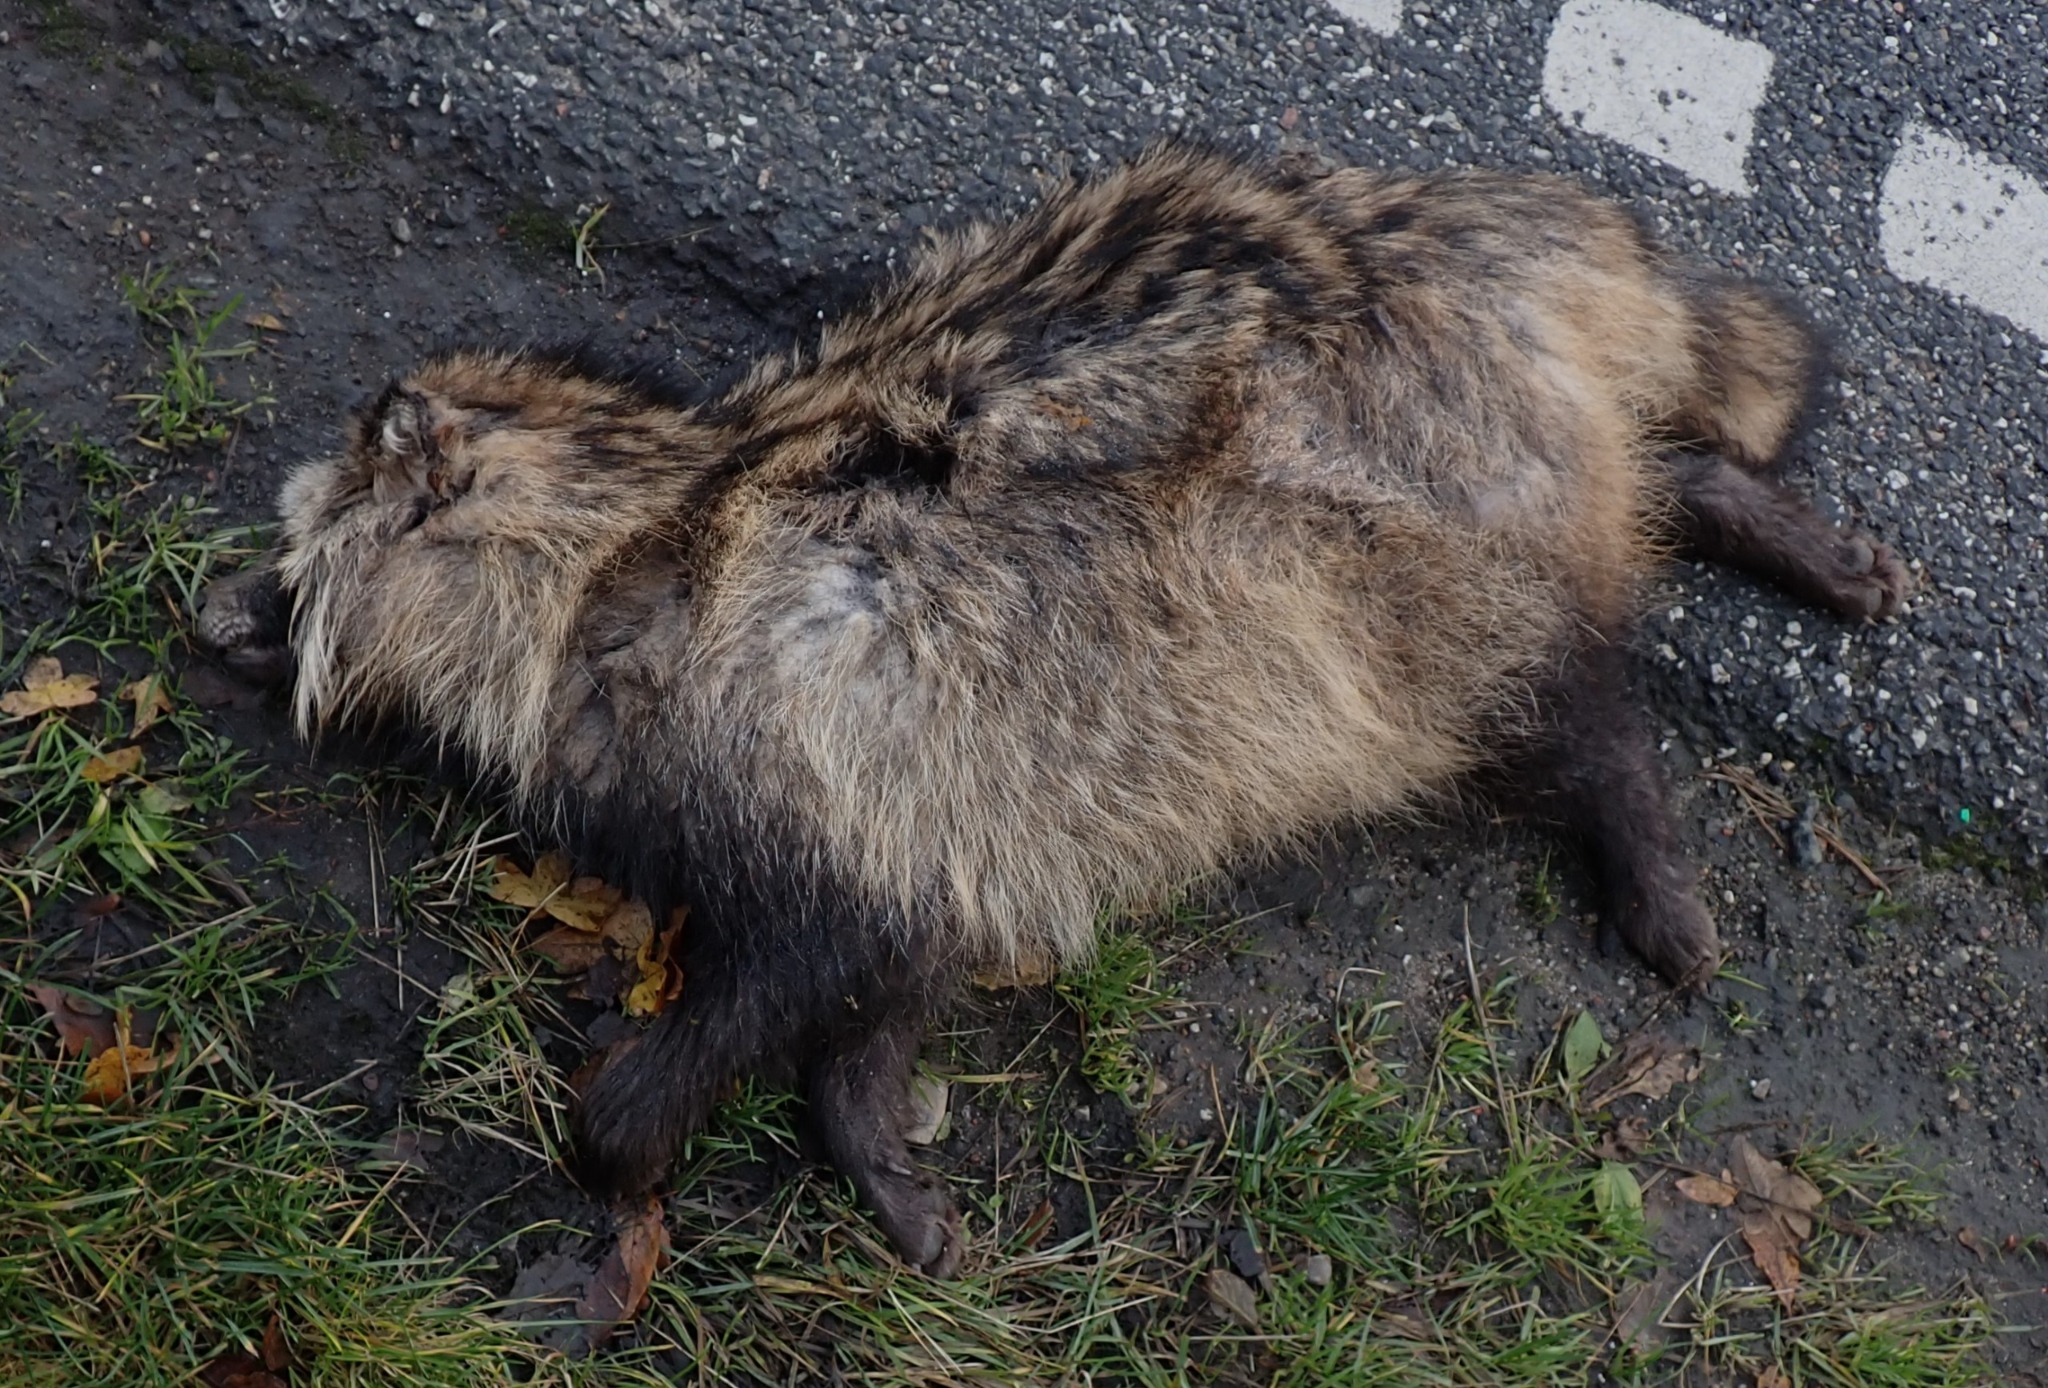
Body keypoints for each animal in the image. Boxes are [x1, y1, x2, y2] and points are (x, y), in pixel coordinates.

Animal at [197, 142, 1909, 1276]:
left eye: (299, 550)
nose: (209, 607)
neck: (625, 545)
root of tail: (1510, 245)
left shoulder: (798, 722)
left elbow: (802, 961)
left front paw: (634, 1130)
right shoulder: (914, 779)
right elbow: (893, 963)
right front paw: (873, 1140)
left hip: (1401, 535)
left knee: (1558, 693)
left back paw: (1646, 847)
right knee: (1625, 504)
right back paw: (1738, 506)